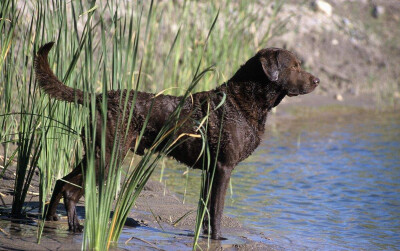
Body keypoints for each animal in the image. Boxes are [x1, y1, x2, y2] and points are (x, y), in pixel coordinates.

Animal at [36, 42, 320, 240]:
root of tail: (97, 97)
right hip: (109, 156)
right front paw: (218, 238)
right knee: (71, 190)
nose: (317, 80)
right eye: (294, 66)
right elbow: (218, 211)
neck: (241, 103)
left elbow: (207, 210)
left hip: (96, 151)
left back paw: (50, 220)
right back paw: (75, 226)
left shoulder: (211, 171)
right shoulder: (224, 168)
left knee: (60, 181)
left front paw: (203, 236)